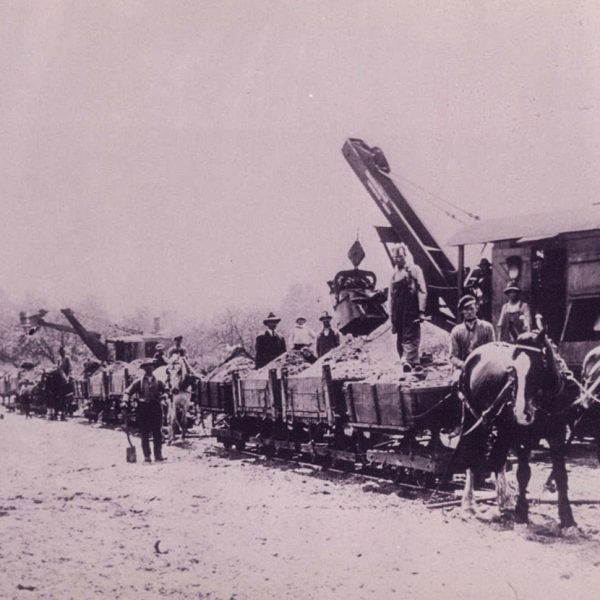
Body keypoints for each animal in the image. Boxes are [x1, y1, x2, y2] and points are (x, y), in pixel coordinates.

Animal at [460, 330, 576, 532]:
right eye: (512, 369)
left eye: (538, 366)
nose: (522, 413)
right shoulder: (520, 437)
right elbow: (523, 474)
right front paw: (522, 515)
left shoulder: (558, 435)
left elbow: (561, 475)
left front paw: (568, 520)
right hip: (472, 418)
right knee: (471, 456)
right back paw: (468, 504)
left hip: (501, 430)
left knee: (498, 460)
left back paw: (505, 500)